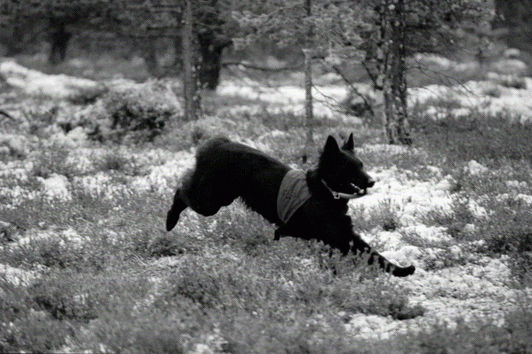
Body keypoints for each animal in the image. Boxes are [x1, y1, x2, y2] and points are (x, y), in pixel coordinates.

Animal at [166, 133, 416, 276]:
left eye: (361, 164)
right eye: (350, 167)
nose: (372, 181)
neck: (324, 191)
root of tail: (216, 144)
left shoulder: (341, 236)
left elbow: (373, 254)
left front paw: (402, 270)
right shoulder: (339, 237)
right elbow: (375, 255)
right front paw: (404, 270)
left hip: (218, 198)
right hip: (211, 202)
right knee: (181, 191)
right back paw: (170, 220)